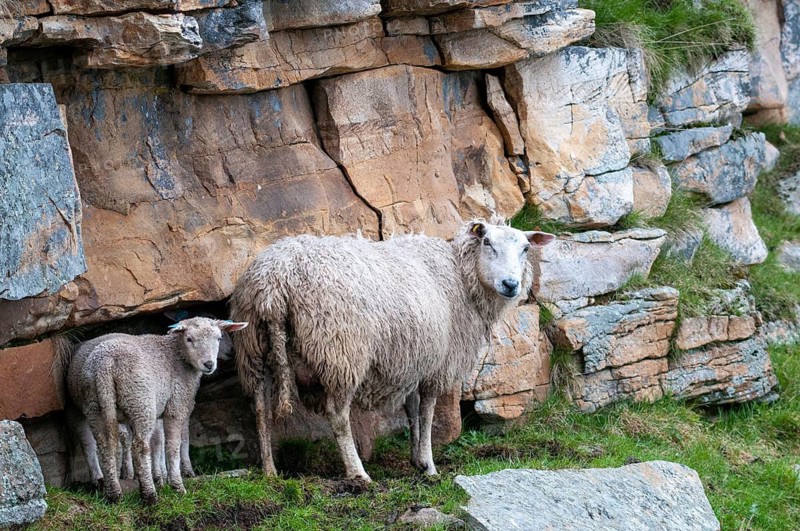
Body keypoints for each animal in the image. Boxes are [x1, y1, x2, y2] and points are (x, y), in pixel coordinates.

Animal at [53, 317, 248, 504]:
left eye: (218, 338)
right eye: (189, 339)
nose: (208, 364)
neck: (178, 355)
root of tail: (105, 364)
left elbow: (159, 442)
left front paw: (163, 478)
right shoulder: (176, 405)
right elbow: (174, 445)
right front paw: (177, 485)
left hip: (95, 403)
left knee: (103, 446)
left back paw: (113, 493)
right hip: (140, 401)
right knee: (139, 447)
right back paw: (149, 495)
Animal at [229, 219, 555, 481]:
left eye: (526, 248)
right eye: (487, 242)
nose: (511, 284)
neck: (462, 278)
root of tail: (275, 282)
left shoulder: (414, 359)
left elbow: (411, 410)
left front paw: (416, 458)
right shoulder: (437, 364)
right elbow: (426, 412)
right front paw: (429, 464)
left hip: (254, 348)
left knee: (259, 407)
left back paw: (270, 471)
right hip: (341, 351)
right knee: (338, 415)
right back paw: (358, 473)